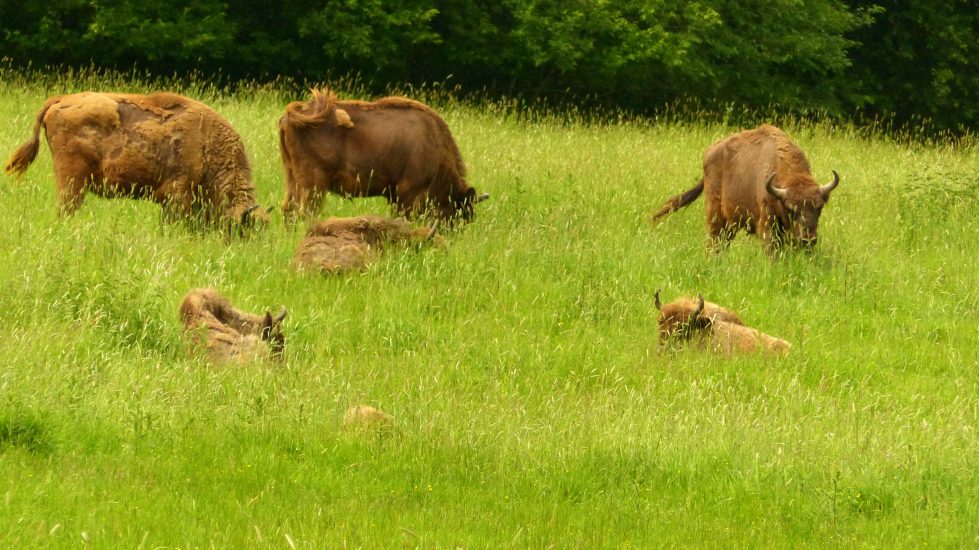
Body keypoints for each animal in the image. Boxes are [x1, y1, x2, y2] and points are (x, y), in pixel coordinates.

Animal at [276, 88, 490, 222]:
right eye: (460, 212)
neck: (434, 142)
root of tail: (291, 114)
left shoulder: (394, 193)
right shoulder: (409, 192)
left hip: (292, 176)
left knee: (289, 210)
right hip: (313, 183)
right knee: (305, 212)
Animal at [652, 125, 844, 254]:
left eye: (819, 207)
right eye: (790, 208)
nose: (808, 239)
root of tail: (710, 152)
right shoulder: (767, 226)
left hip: (731, 223)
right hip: (716, 214)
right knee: (714, 239)